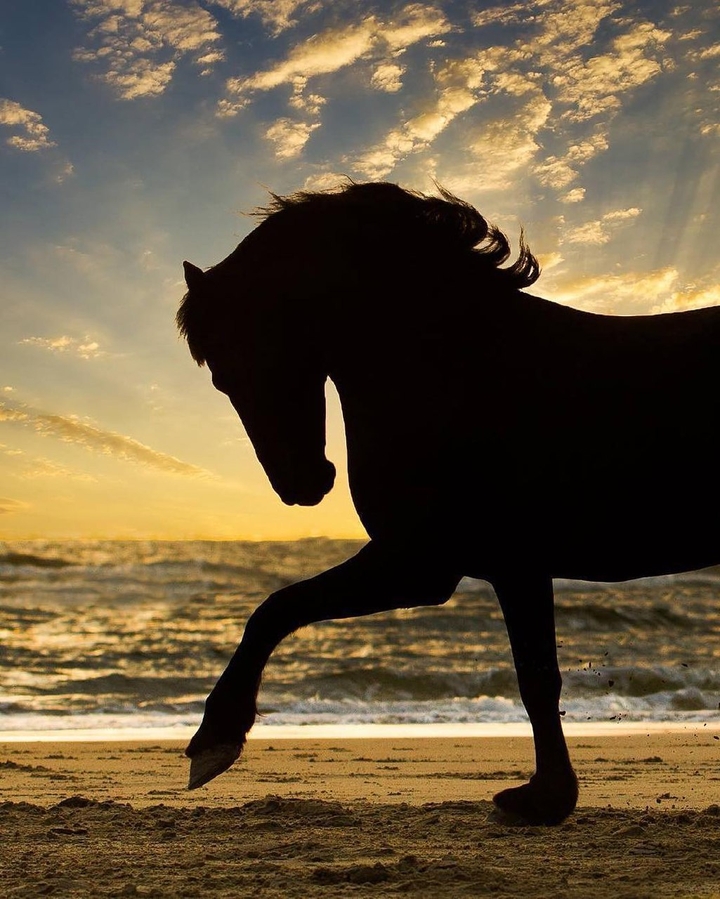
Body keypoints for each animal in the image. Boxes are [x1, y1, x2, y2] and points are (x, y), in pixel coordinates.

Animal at [177, 181, 720, 825]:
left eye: (235, 368)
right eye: (220, 379)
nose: (301, 484)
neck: (453, 364)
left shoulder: (430, 563)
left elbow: (275, 609)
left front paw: (215, 740)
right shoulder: (498, 567)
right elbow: (537, 677)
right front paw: (548, 796)